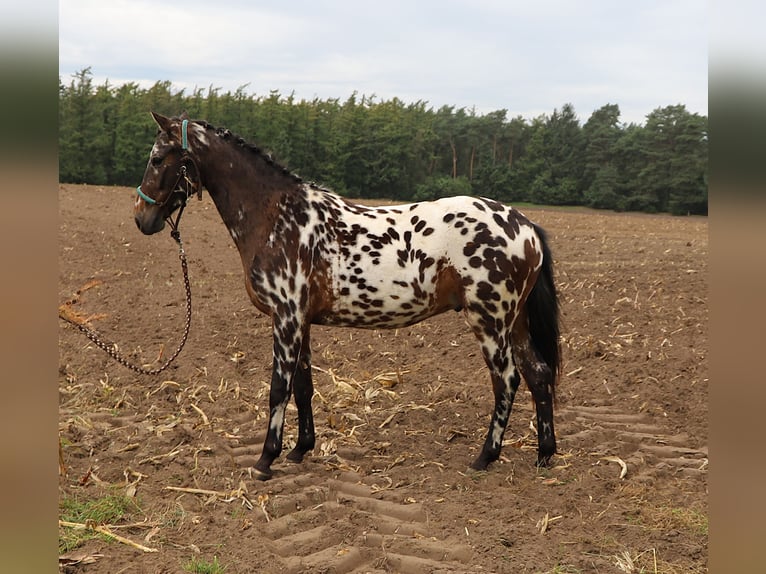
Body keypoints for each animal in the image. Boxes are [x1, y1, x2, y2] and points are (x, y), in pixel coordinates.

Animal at [134, 111, 561, 481]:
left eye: (156, 158)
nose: (141, 218)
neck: (277, 217)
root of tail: (526, 227)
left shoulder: (286, 317)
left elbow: (278, 388)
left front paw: (266, 459)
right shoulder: (300, 321)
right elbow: (303, 387)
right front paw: (300, 449)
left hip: (490, 322)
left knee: (507, 380)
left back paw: (485, 456)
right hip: (514, 323)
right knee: (539, 375)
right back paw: (544, 455)